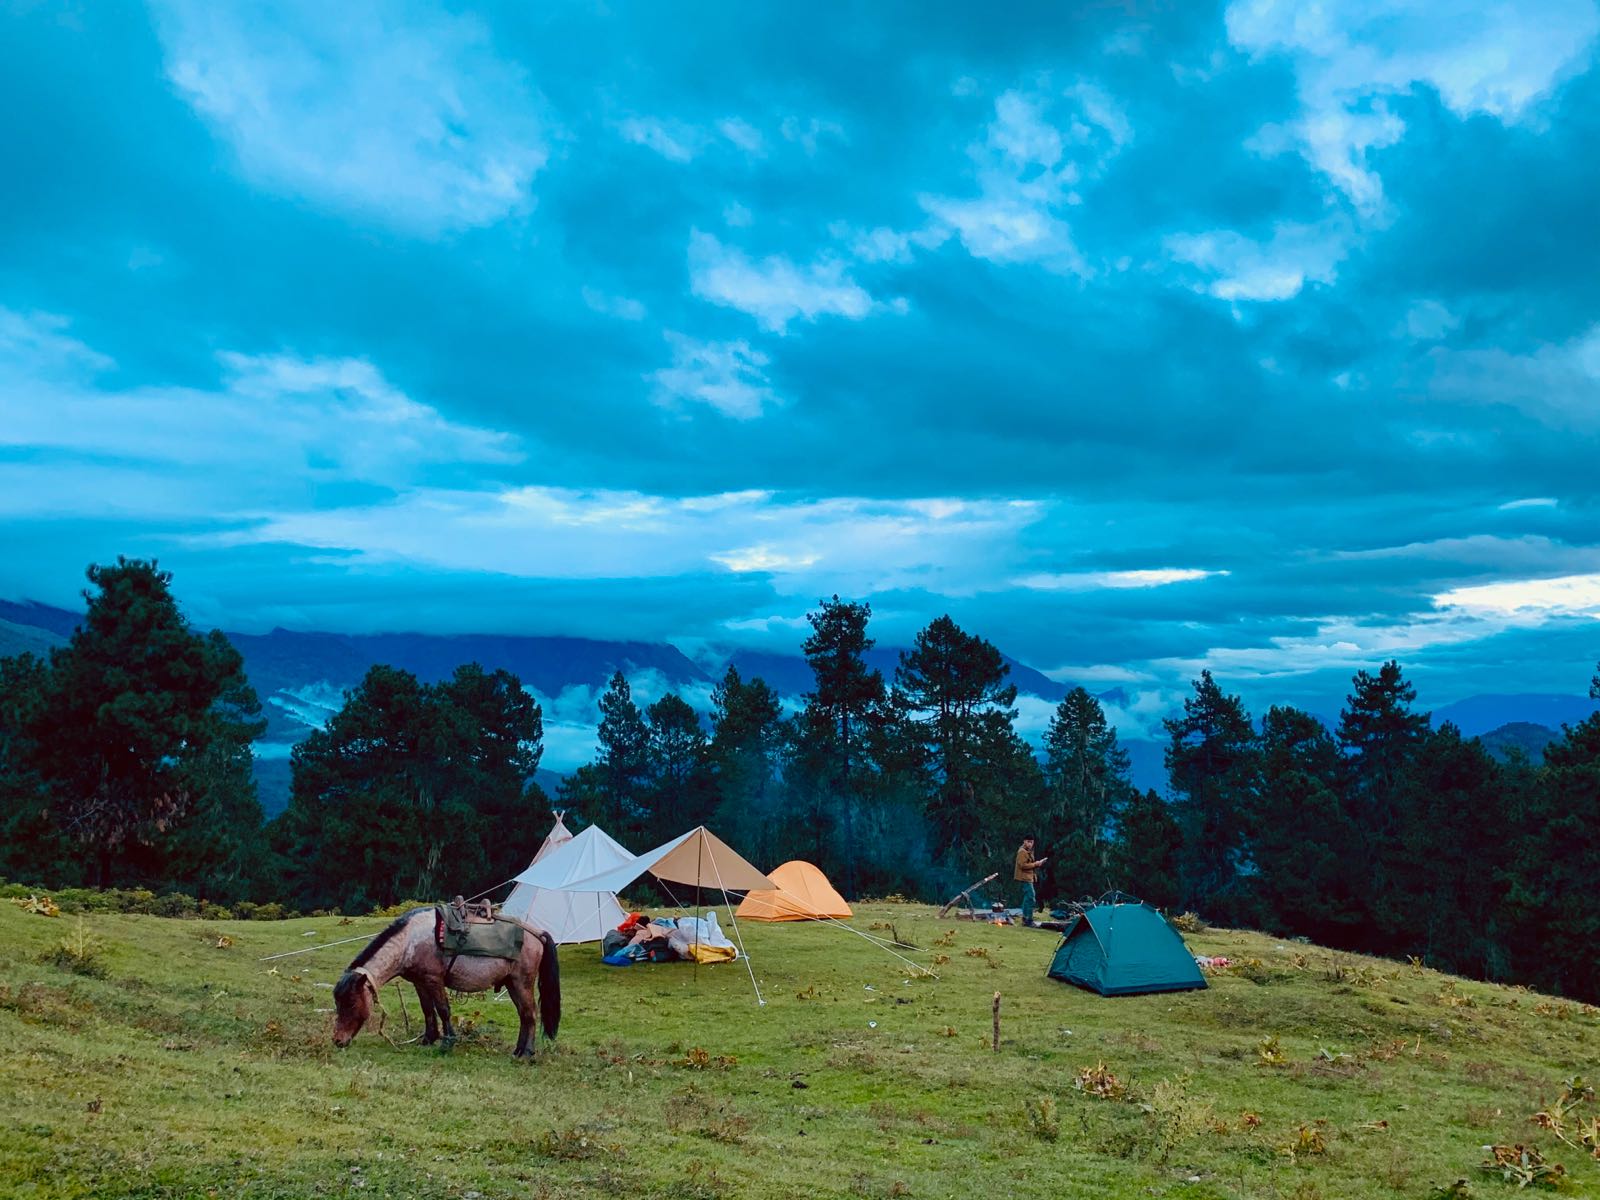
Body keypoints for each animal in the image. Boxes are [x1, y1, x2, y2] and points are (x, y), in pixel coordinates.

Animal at [328, 908, 560, 1062]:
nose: (338, 1041)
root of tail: (536, 933)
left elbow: (443, 1010)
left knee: (530, 1014)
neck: (410, 941)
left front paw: (448, 1042)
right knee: (523, 1015)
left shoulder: (434, 980)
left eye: (350, 1004)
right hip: (512, 985)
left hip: (522, 983)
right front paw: (428, 1039)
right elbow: (427, 1010)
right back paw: (518, 1050)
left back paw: (527, 1053)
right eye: (337, 1004)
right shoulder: (420, 983)